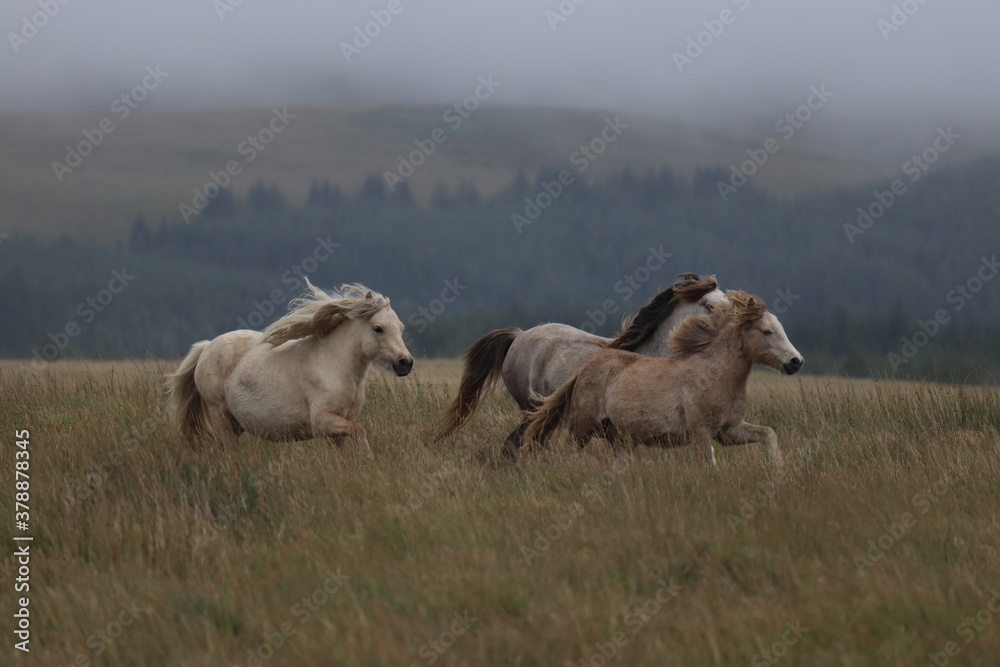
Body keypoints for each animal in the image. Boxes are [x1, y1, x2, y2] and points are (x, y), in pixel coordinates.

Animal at [167, 281, 414, 455]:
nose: (406, 363)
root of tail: (206, 347)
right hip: (220, 416)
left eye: (401, 328)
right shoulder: (323, 422)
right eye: (378, 328)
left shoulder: (337, 430)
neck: (334, 366)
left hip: (234, 425)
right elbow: (360, 431)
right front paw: (368, 459)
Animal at [523, 290, 803, 465]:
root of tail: (583, 370)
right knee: (566, 454)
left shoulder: (728, 431)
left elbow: (768, 434)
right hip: (582, 427)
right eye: (766, 331)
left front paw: (778, 470)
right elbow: (708, 464)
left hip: (620, 439)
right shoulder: (701, 432)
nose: (796, 362)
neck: (715, 374)